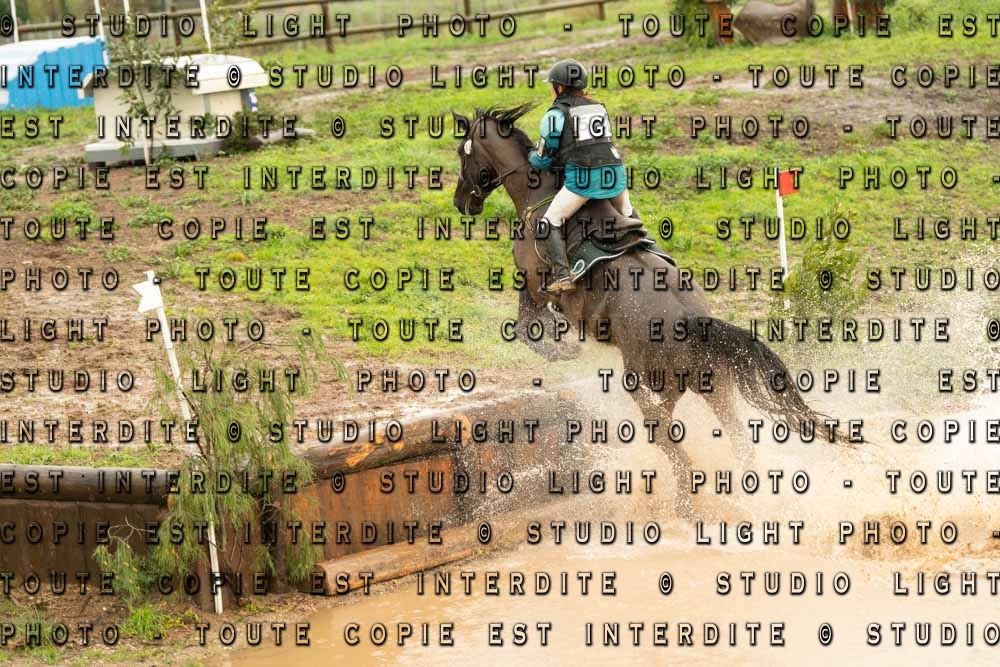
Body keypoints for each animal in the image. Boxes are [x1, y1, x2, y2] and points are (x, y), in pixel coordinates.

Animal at [451, 104, 846, 519]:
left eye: (463, 153)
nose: (461, 203)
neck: (536, 191)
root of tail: (693, 321)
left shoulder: (533, 284)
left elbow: (526, 327)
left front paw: (564, 347)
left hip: (643, 379)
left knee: (663, 429)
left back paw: (686, 501)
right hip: (713, 386)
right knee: (736, 438)